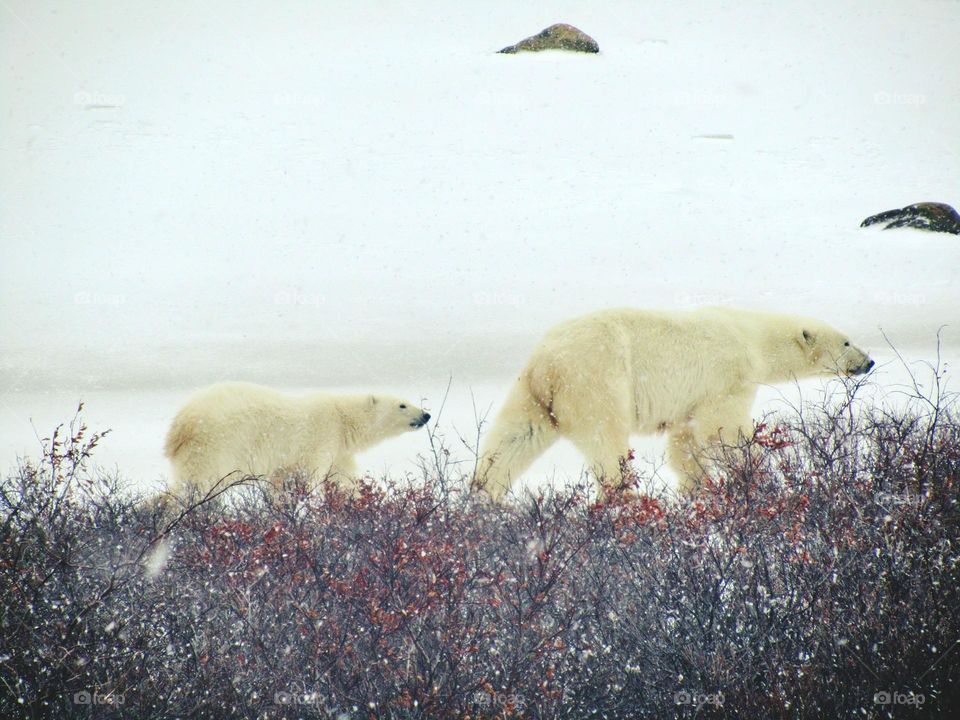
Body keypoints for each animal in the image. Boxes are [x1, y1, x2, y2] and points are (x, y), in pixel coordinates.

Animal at [166, 382, 432, 500]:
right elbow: (311, 476)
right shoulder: (321, 438)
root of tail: (181, 423)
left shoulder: (337, 449)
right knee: (198, 484)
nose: (426, 415)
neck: (342, 419)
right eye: (402, 405)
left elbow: (343, 477)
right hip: (215, 444)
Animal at [476, 306, 872, 498]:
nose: (868, 362)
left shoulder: (690, 402)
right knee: (607, 440)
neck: (751, 336)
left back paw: (484, 497)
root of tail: (547, 363)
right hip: (595, 379)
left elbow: (685, 442)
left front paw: (694, 487)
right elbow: (722, 429)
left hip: (534, 393)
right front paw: (756, 470)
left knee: (513, 439)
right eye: (847, 341)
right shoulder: (726, 376)